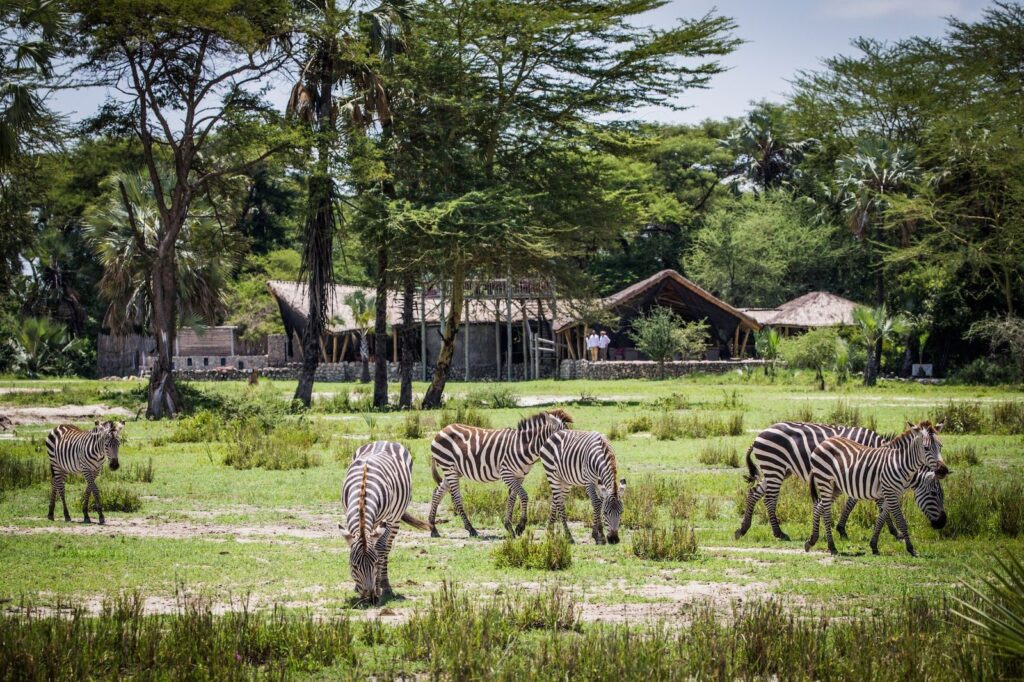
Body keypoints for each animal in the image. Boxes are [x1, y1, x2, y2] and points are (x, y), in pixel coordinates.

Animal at [341, 441, 431, 603]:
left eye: (375, 563)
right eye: (354, 566)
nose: (370, 598)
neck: (363, 489)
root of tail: (384, 441)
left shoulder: (388, 519)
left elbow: (380, 549)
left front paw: (379, 587)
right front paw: (357, 587)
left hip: (396, 517)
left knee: (386, 547)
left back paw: (385, 585)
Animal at [428, 409, 573, 538]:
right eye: (560, 436)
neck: (523, 447)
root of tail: (443, 429)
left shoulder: (519, 476)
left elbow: (512, 498)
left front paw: (509, 526)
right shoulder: (506, 473)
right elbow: (524, 495)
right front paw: (520, 526)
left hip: (454, 471)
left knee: (437, 492)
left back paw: (433, 528)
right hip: (449, 468)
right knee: (456, 498)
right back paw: (471, 529)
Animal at [735, 422, 892, 541]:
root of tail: (759, 435)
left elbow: (854, 502)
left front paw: (841, 530)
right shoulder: (859, 475)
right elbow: (876, 503)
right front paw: (894, 531)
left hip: (778, 470)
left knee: (754, 493)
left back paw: (743, 529)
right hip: (775, 466)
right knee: (769, 500)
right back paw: (779, 533)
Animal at [805, 420, 948, 557]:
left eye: (941, 446)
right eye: (933, 494)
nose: (942, 522)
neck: (901, 464)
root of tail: (824, 442)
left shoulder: (893, 494)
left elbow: (881, 518)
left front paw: (874, 546)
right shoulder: (889, 492)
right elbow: (900, 521)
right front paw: (911, 549)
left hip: (835, 486)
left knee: (818, 506)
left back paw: (812, 540)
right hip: (825, 481)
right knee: (826, 512)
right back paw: (832, 547)